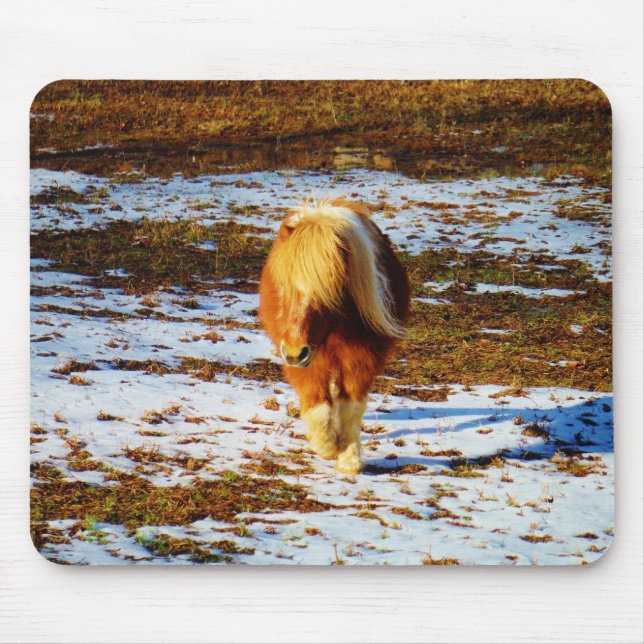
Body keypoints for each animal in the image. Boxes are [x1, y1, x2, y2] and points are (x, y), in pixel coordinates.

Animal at [259, 197, 410, 474]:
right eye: (283, 287)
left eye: (329, 292)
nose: (295, 352)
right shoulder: (307, 361)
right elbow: (317, 405)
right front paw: (327, 446)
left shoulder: (362, 359)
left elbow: (350, 408)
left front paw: (349, 458)